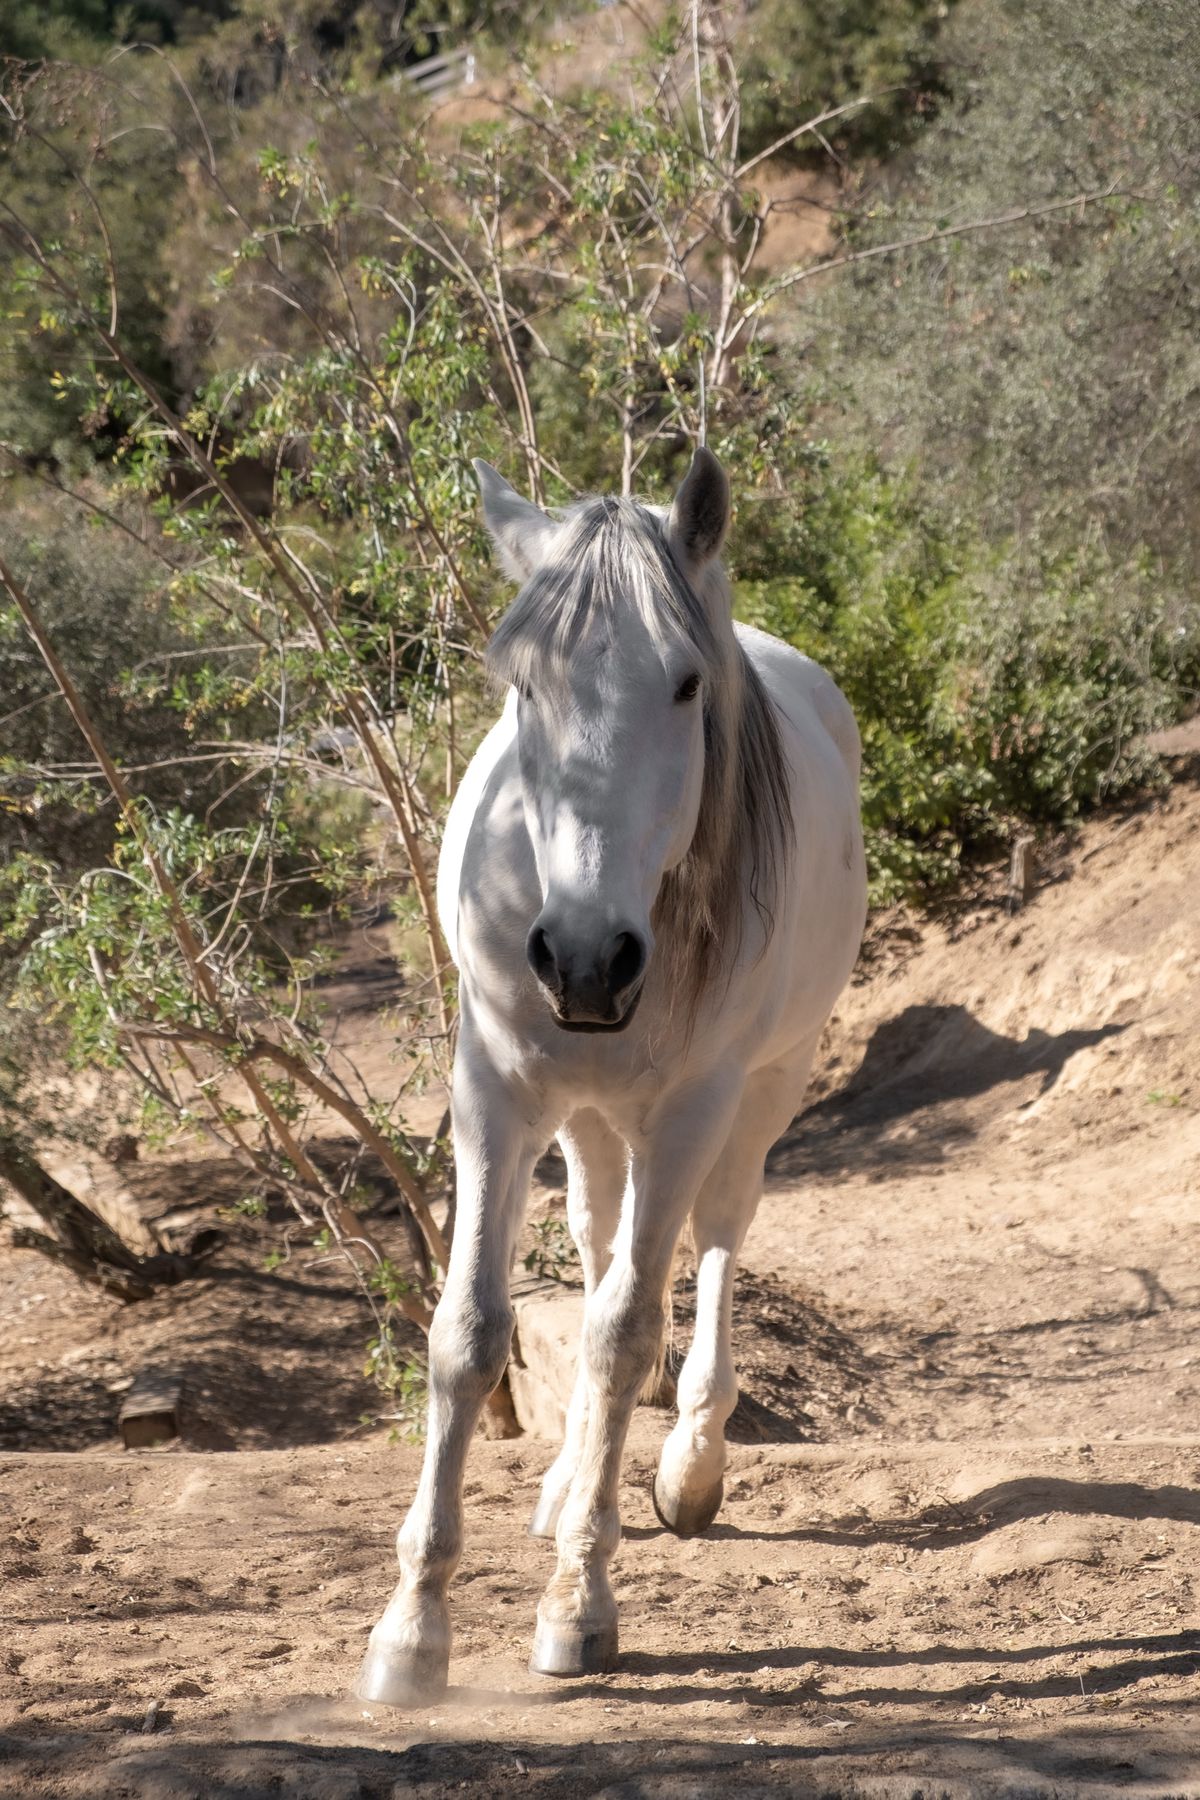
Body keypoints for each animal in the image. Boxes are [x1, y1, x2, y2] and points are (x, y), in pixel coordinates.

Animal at [357, 448, 867, 1703]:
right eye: (522, 687)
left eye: (686, 684)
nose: (585, 958)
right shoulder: (493, 1092)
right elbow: (470, 1334)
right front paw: (412, 1626)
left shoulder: (690, 1109)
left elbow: (628, 1331)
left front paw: (579, 1605)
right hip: (586, 1116)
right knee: (596, 1241)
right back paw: (567, 1485)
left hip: (759, 1094)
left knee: (715, 1241)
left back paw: (685, 1467)